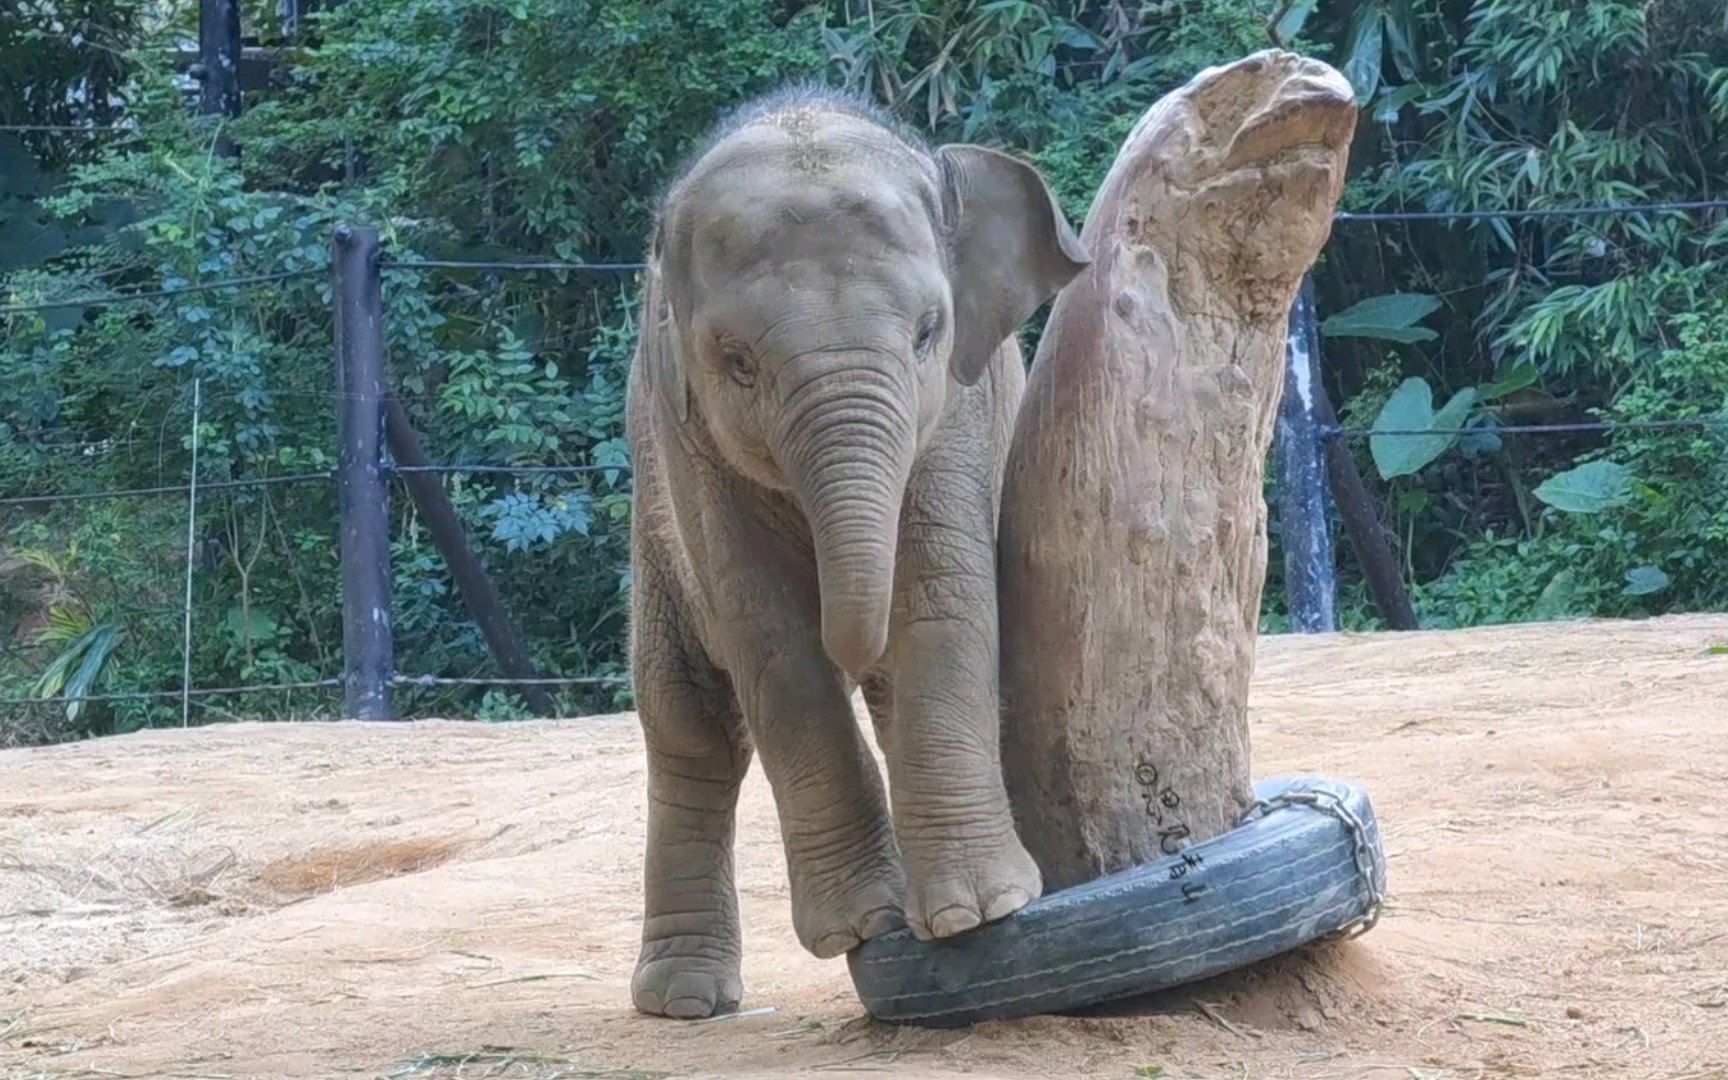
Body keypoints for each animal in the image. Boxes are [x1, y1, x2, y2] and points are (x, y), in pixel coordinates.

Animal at [625, 84, 1078, 1016]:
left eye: (929, 332)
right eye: (735, 362)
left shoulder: (957, 410)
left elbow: (940, 597)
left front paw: (977, 912)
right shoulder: (688, 439)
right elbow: (771, 638)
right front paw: (864, 925)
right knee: (690, 718)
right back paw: (685, 1002)